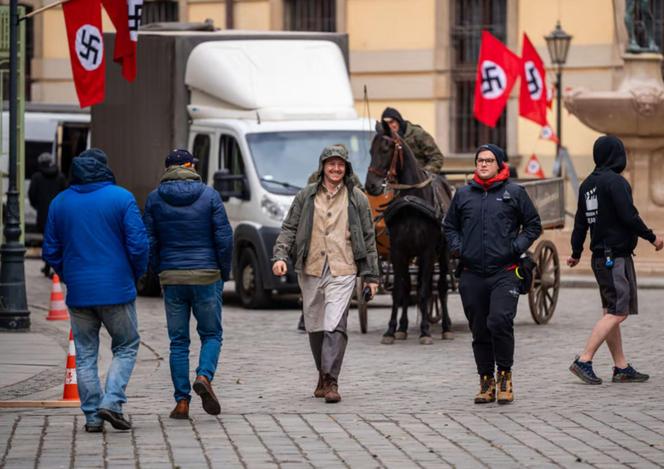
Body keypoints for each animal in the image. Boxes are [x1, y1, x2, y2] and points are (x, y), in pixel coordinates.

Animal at [360, 127, 454, 344]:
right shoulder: (398, 251)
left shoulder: (428, 251)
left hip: (442, 253)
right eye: (370, 150)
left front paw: (425, 331)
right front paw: (392, 330)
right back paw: (404, 327)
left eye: (386, 149)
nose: (370, 186)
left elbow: (424, 291)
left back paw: (446, 327)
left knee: (440, 287)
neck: (412, 201)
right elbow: (400, 291)